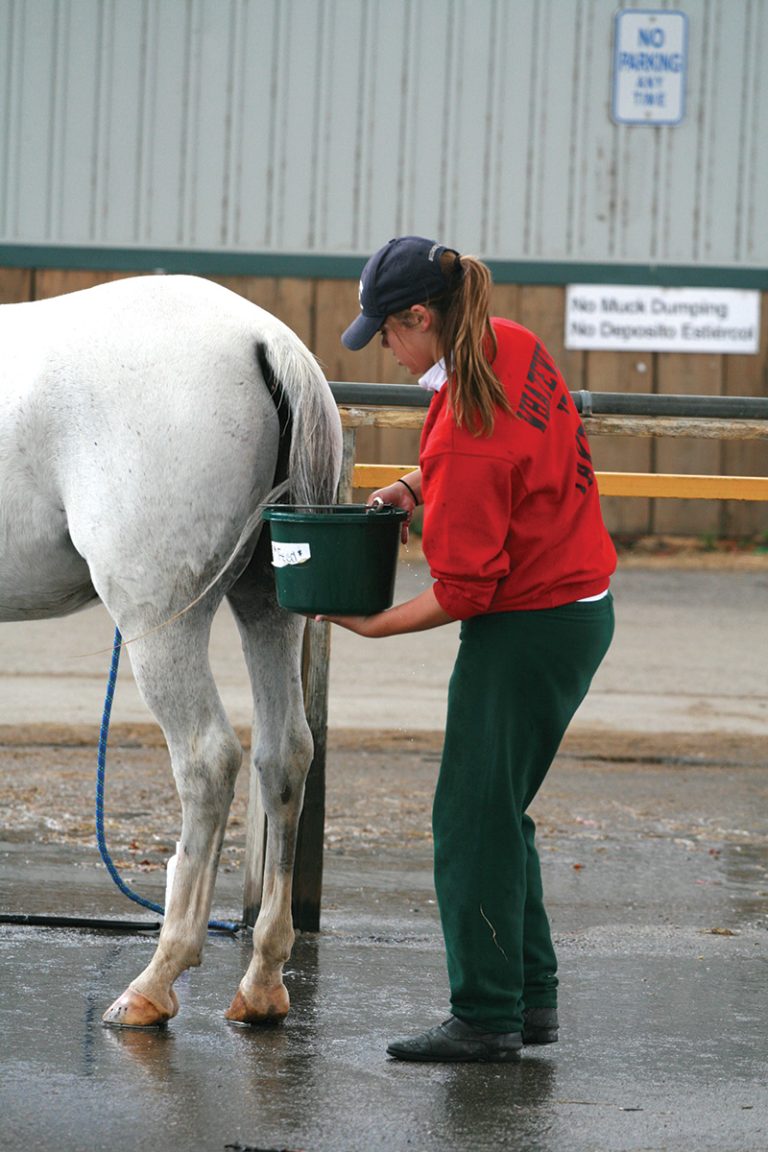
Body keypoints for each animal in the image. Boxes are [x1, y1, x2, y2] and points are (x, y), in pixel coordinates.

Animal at [0, 274, 343, 1032]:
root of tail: (261, 338)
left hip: (158, 621)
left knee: (208, 760)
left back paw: (156, 979)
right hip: (267, 604)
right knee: (285, 755)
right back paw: (263, 981)